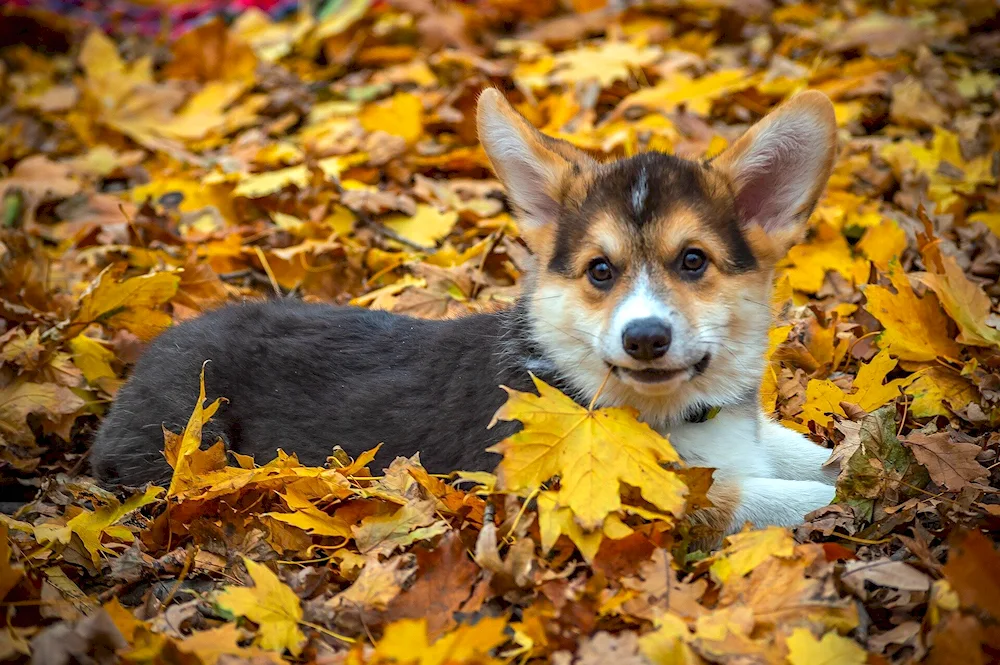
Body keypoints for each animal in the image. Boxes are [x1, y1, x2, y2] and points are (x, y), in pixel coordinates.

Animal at [92, 88, 836, 536]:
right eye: (600, 270)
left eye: (692, 262)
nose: (645, 338)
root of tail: (151, 351)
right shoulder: (634, 493)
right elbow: (772, 497)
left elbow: (804, 453)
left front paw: (854, 456)